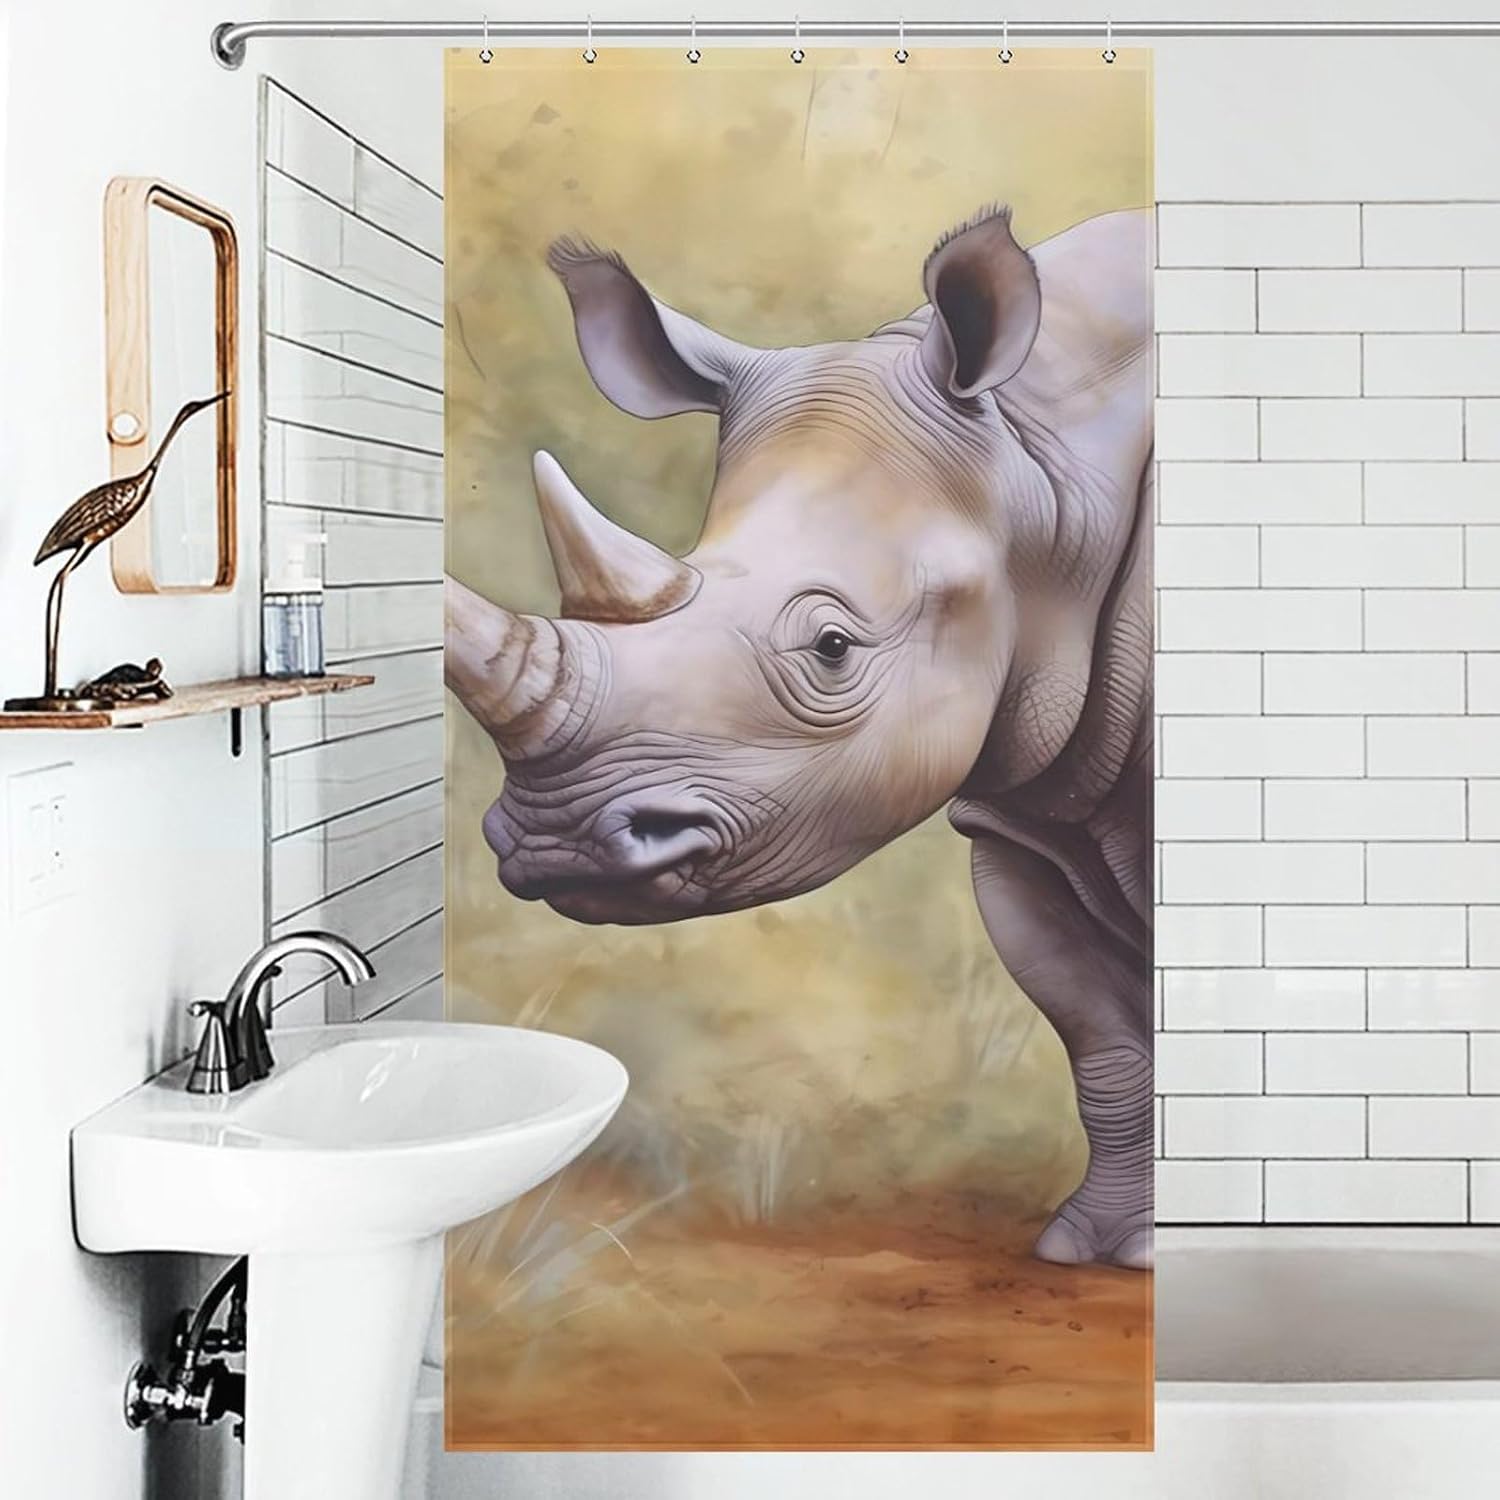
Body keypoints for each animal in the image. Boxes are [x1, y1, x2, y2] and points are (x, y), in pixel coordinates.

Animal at [447, 205, 1154, 1270]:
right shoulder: (1026, 807)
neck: (1043, 455)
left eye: (831, 647)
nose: (555, 842)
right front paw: (1086, 1251)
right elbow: (1101, 1037)